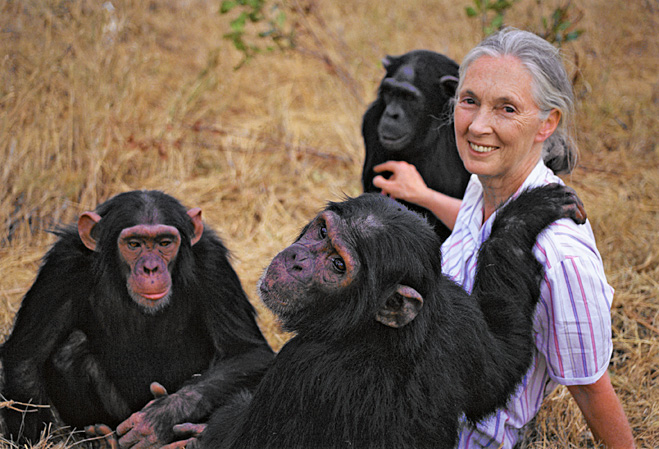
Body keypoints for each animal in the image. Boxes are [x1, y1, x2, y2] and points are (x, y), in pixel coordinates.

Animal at [0, 191, 274, 446]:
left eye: (165, 243)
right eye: (133, 244)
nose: (151, 268)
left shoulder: (213, 262)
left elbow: (247, 352)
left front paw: (159, 418)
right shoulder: (63, 264)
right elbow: (25, 360)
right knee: (69, 350)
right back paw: (102, 439)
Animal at [180, 183, 588, 448]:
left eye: (337, 264)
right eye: (321, 231)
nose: (297, 260)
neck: (370, 333)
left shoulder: (299, 373)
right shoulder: (459, 321)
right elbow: (502, 364)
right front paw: (523, 218)